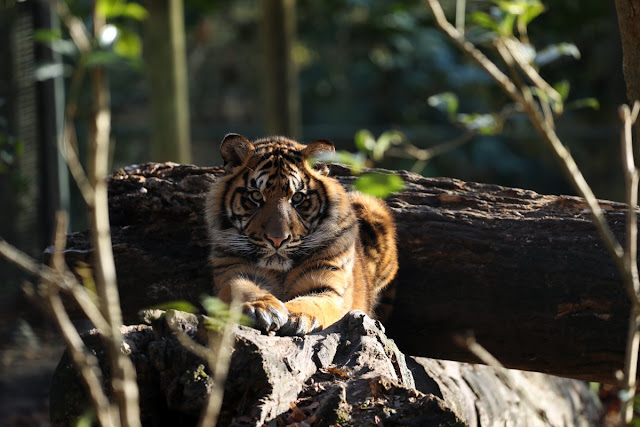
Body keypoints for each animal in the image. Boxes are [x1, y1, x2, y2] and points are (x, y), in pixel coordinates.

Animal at [205, 135, 398, 336]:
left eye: (297, 198)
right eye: (256, 196)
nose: (277, 240)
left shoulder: (330, 286)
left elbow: (314, 302)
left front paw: (296, 315)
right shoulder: (232, 273)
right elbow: (244, 289)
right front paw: (263, 308)